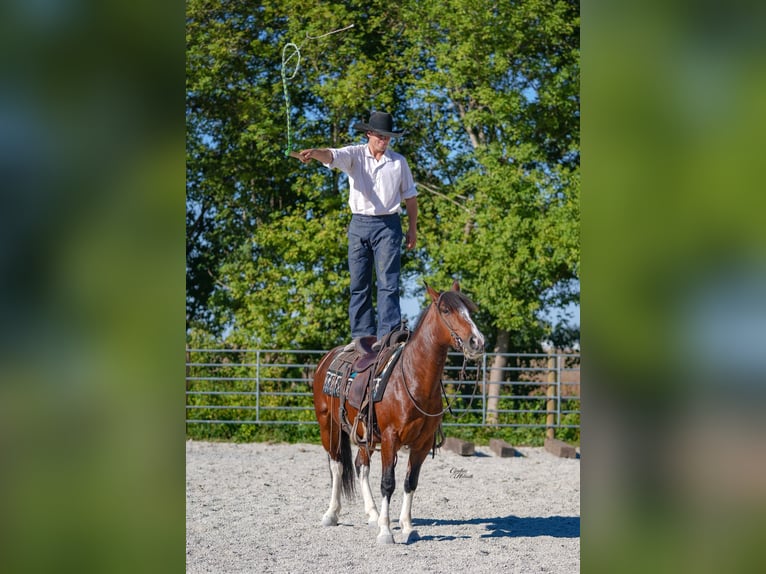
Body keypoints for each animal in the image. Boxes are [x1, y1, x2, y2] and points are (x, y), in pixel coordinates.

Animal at [312, 281, 485, 544]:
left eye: (469, 310)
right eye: (446, 310)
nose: (477, 341)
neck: (413, 379)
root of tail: (329, 358)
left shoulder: (422, 443)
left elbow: (410, 482)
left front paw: (407, 526)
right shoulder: (390, 438)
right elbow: (388, 483)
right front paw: (386, 532)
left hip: (364, 434)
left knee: (360, 465)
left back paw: (372, 514)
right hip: (328, 425)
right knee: (337, 465)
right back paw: (332, 514)